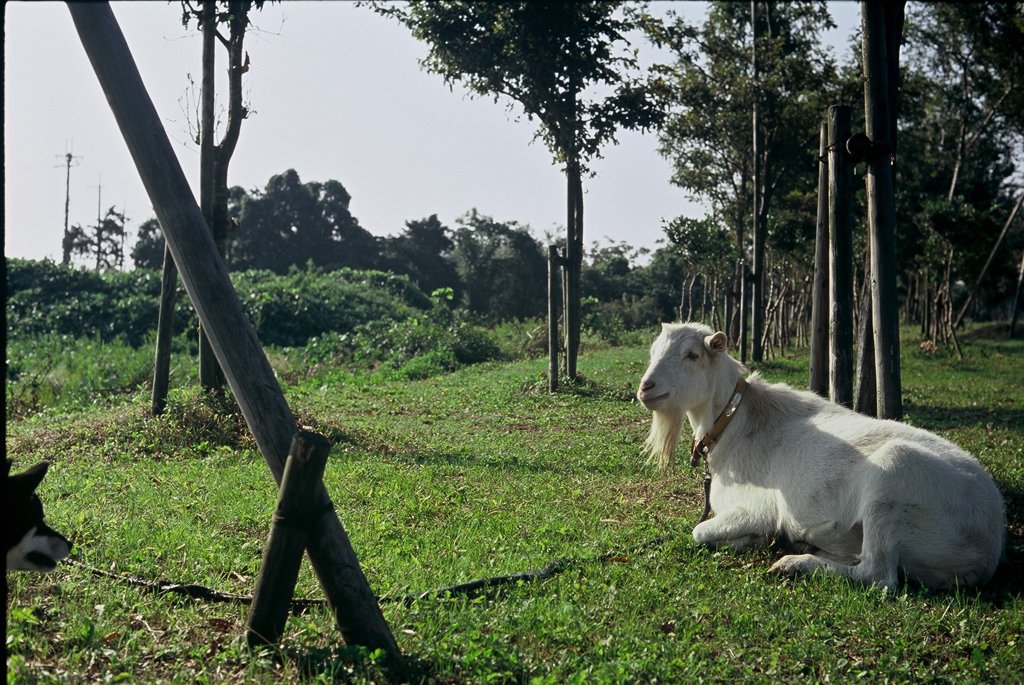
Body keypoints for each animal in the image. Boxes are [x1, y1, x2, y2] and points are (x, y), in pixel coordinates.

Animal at [634, 321, 1003, 589]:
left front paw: (754, 540)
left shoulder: (759, 509)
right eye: (653, 351)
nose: (645, 387)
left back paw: (794, 564)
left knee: (878, 576)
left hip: (891, 484)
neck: (735, 421)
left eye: (692, 355)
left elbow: (700, 531)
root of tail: (989, 544)